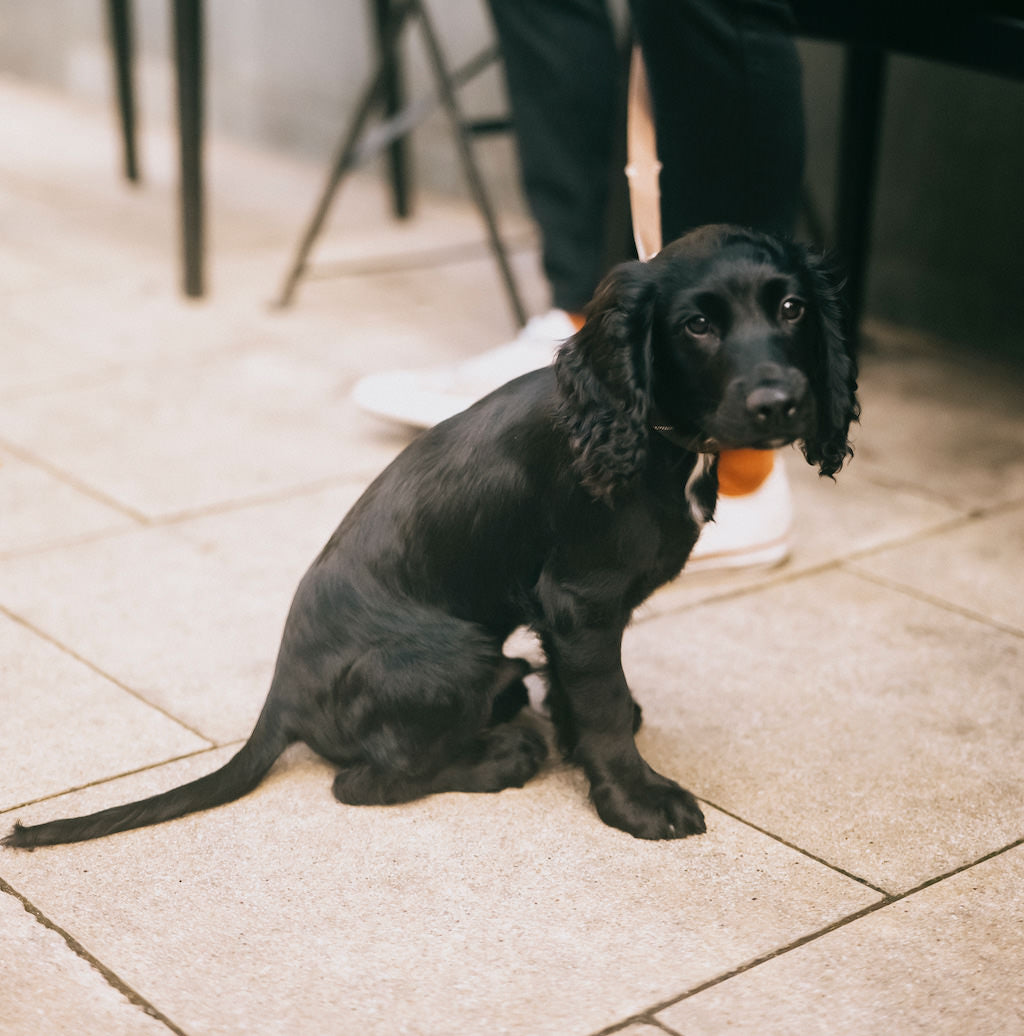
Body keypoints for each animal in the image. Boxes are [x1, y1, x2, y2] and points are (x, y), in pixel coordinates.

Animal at [5, 222, 854, 845]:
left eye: (792, 310)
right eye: (698, 325)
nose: (781, 404)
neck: (648, 433)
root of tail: (282, 699)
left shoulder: (568, 614)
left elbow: (586, 693)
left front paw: (579, 737)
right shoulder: (580, 599)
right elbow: (606, 703)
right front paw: (637, 798)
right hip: (455, 652)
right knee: (361, 781)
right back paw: (504, 753)